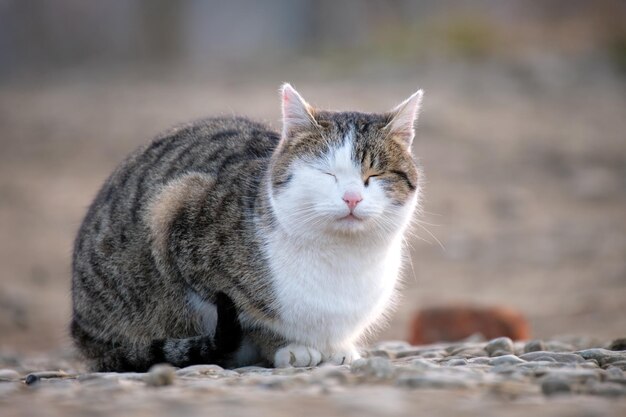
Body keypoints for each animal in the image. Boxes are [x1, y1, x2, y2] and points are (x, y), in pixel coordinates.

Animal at [72, 83, 424, 368]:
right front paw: (289, 347)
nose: (352, 198)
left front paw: (338, 348)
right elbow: (249, 317)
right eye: (326, 173)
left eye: (374, 175)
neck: (342, 255)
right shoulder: (177, 219)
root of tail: (80, 328)